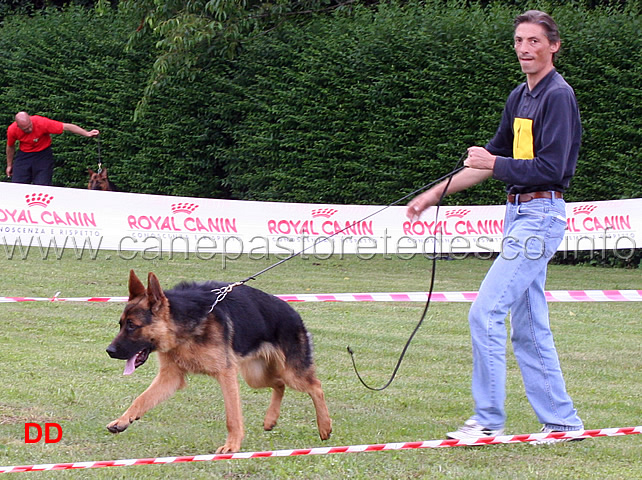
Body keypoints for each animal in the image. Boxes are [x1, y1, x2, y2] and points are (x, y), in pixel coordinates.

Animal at [105, 270, 332, 454]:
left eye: (132, 325)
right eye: (121, 324)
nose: (109, 351)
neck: (182, 325)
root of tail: (294, 313)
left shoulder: (226, 374)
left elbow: (232, 417)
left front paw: (232, 445)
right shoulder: (170, 378)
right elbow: (140, 399)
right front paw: (123, 420)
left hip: (292, 373)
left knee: (316, 386)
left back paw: (325, 427)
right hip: (255, 376)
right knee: (279, 384)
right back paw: (271, 420)